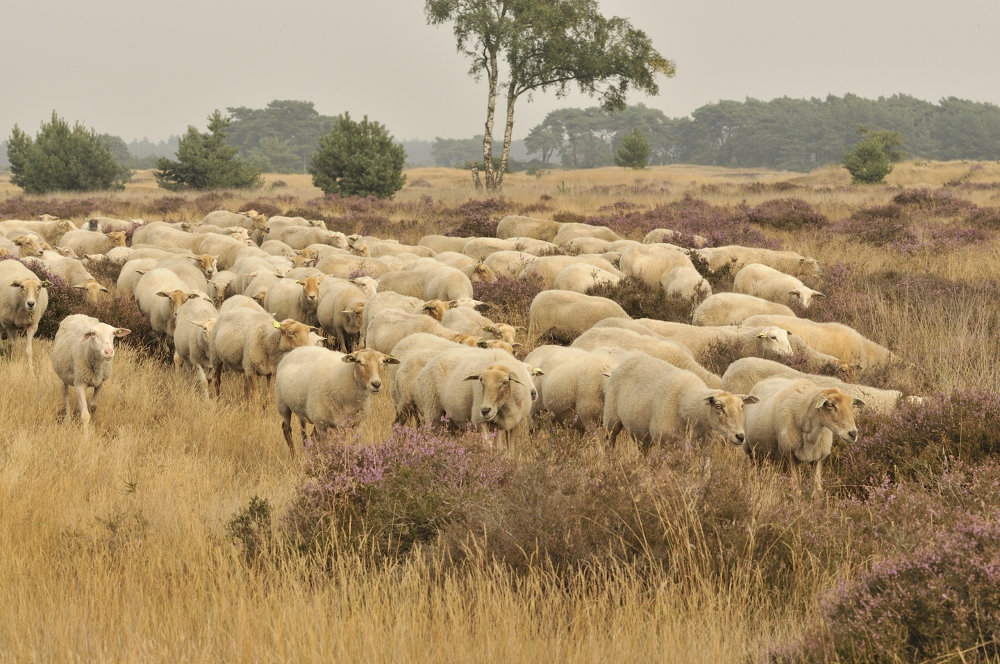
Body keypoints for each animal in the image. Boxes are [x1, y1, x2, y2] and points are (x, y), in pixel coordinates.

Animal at [600, 352, 756, 456]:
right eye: (718, 406)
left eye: (742, 406)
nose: (740, 436)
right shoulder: (664, 444)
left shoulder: (705, 447)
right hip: (611, 419)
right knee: (609, 441)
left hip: (642, 433)